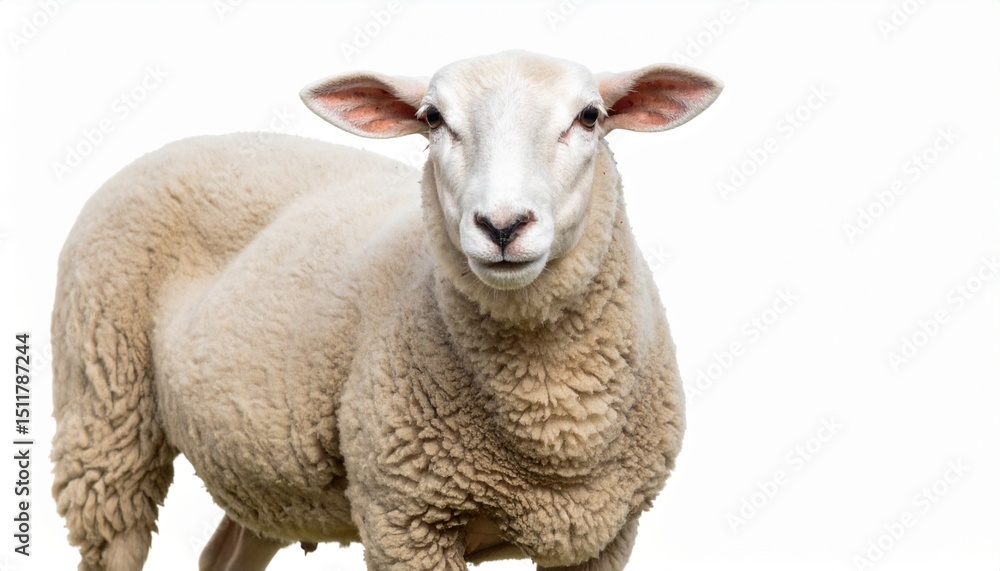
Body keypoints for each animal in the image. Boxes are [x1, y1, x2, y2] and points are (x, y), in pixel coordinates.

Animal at [50, 50, 722, 570]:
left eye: (589, 117)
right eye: (433, 119)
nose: (502, 226)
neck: (550, 425)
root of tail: (188, 140)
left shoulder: (603, 534)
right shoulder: (406, 520)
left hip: (260, 471)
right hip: (105, 415)